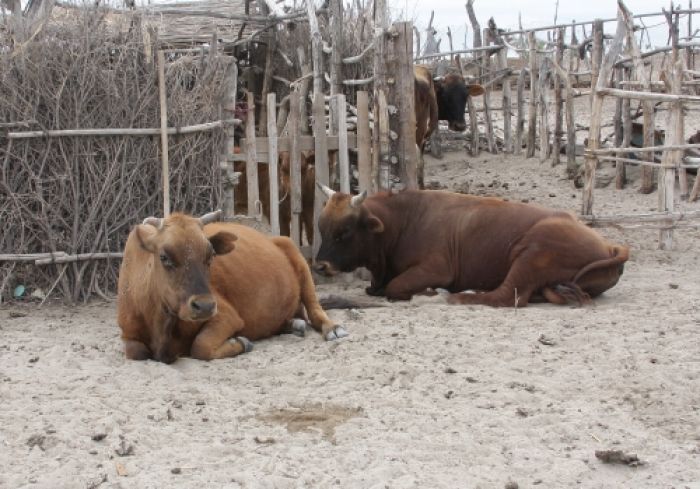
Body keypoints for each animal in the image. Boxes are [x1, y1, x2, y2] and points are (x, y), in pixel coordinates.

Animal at [117, 210, 348, 362]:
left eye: (210, 255)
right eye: (164, 257)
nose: (205, 306)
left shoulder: (227, 316)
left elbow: (200, 346)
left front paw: (242, 343)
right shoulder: (128, 334)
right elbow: (136, 352)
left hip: (296, 256)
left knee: (315, 310)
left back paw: (333, 329)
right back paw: (293, 324)